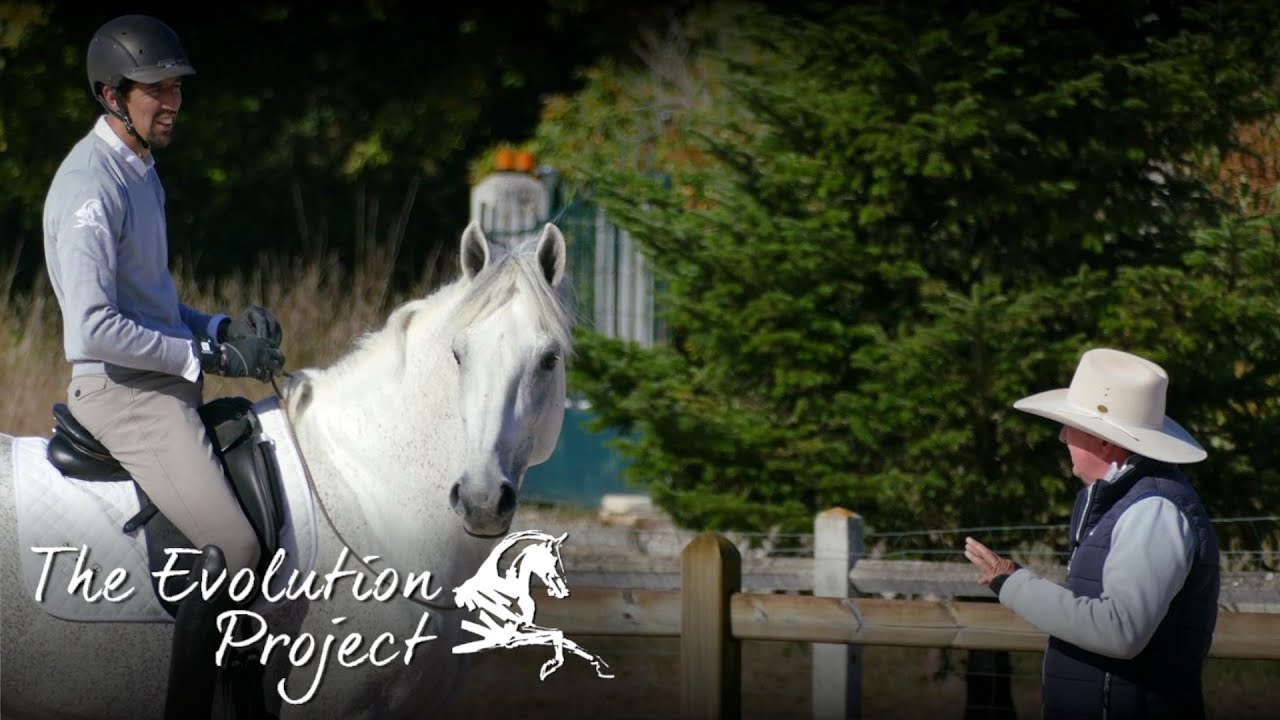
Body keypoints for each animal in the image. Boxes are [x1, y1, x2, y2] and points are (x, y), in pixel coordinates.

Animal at [452, 530, 612, 681]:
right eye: (552, 559)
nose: (563, 591)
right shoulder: (509, 637)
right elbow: (554, 634)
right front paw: (551, 665)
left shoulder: (524, 628)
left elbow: (561, 636)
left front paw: (599, 664)